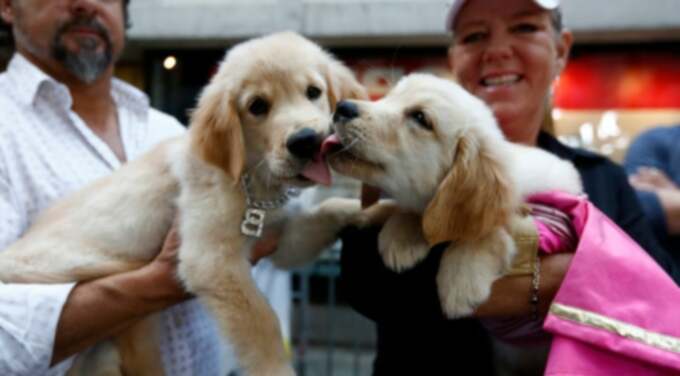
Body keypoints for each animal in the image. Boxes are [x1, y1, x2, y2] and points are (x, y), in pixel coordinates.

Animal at [0, 32, 366, 376]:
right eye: (257, 106)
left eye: (313, 92)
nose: (307, 141)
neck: (250, 180)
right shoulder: (210, 260)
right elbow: (262, 322)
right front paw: (276, 369)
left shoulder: (278, 238)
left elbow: (327, 211)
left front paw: (365, 211)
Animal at [322, 72, 580, 318]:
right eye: (389, 97)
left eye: (420, 118)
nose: (342, 106)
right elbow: (409, 209)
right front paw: (398, 231)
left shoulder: (554, 221)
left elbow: (484, 231)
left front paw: (461, 279)